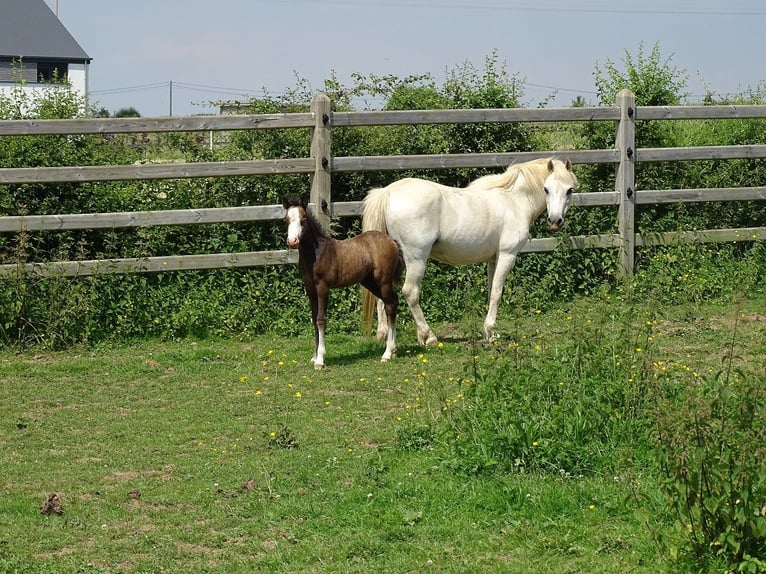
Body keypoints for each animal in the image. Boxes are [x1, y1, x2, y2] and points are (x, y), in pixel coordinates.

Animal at [364, 158, 580, 346]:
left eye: (569, 190)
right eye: (546, 189)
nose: (555, 221)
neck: (514, 201)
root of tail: (388, 192)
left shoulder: (493, 260)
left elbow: (491, 291)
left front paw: (489, 332)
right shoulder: (507, 255)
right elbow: (497, 293)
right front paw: (490, 332)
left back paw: (384, 335)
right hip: (416, 259)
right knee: (410, 292)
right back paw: (428, 336)